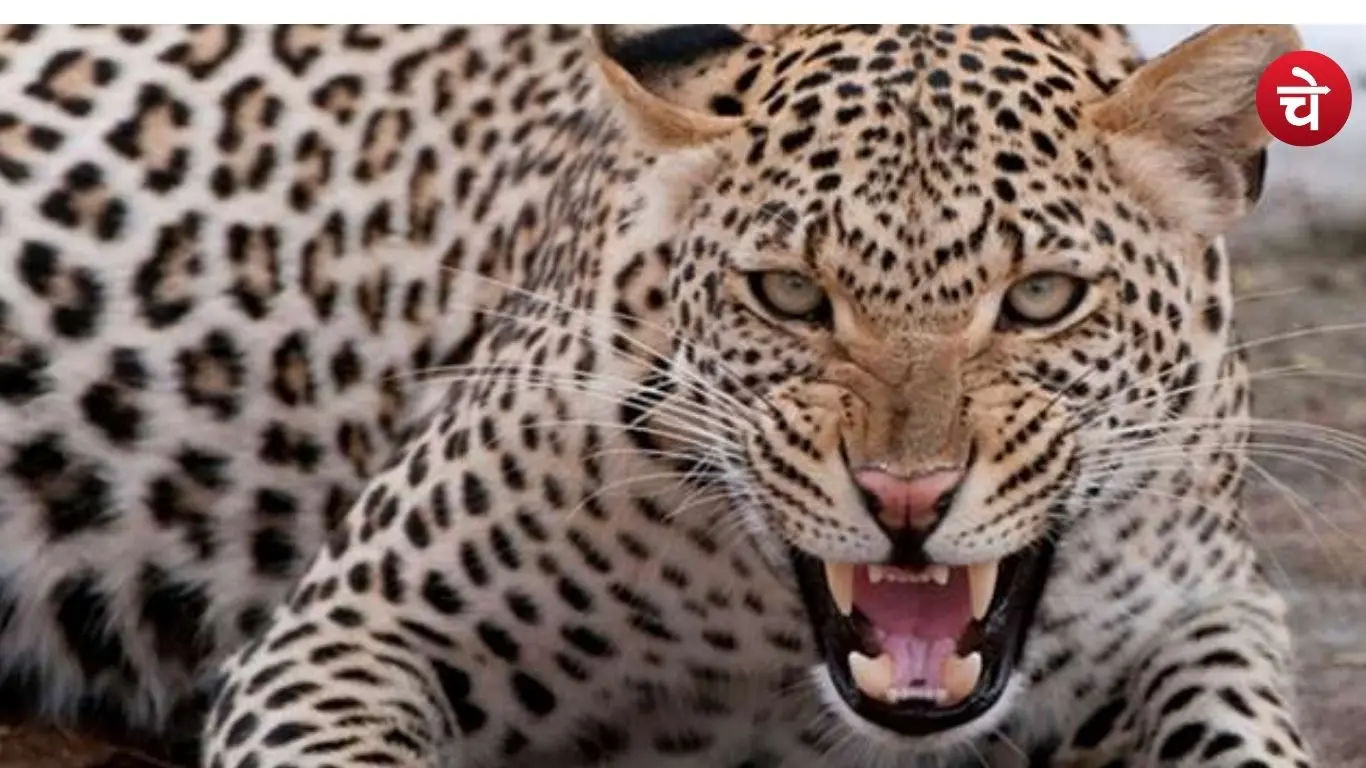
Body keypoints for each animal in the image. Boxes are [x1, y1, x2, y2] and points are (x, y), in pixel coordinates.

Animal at [0, 23, 1315, 768]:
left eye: (1040, 297)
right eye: (788, 294)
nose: (905, 497)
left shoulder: (1204, 610)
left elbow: (1242, 734)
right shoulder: (349, 632)